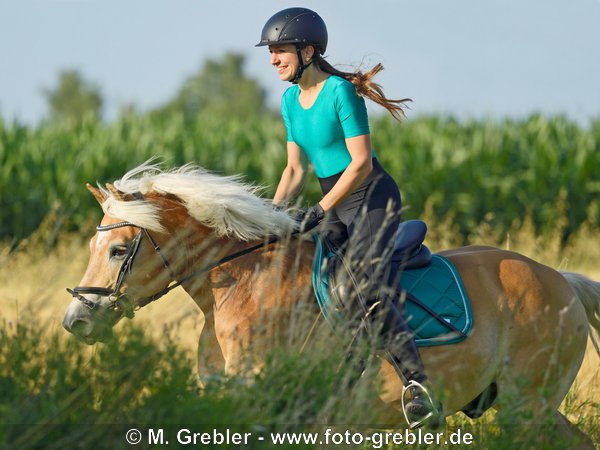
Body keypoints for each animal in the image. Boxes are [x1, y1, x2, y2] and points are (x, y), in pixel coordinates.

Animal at [63, 163, 600, 446]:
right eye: (91, 246)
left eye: (118, 250)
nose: (76, 320)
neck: (242, 286)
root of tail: (562, 282)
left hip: (525, 407)